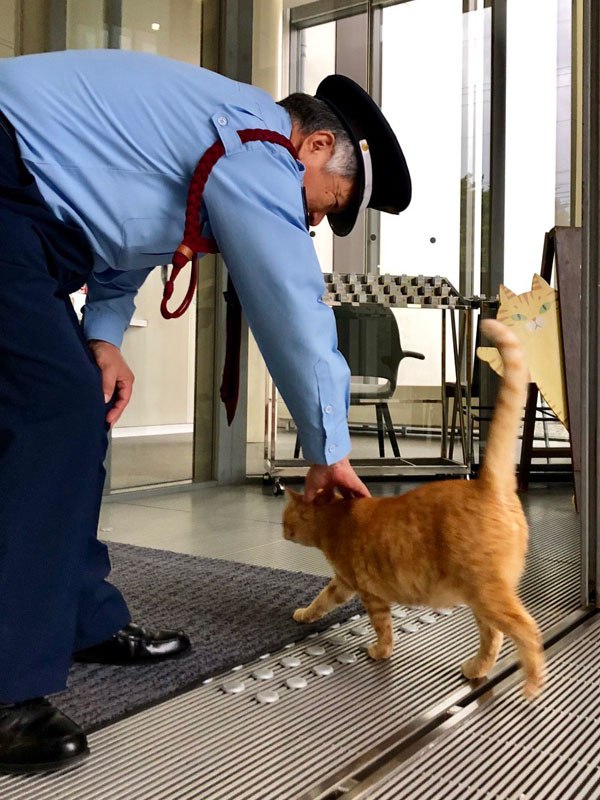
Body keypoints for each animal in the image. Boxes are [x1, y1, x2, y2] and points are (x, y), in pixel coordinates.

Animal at [284, 318, 548, 700]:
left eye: (285, 518)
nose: (281, 530)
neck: (337, 517)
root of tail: (486, 483)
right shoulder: (342, 584)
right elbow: (322, 600)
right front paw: (305, 614)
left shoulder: (367, 592)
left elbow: (381, 627)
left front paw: (379, 652)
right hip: (480, 599)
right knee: (494, 636)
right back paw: (476, 669)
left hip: (488, 594)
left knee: (526, 629)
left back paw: (532, 681)